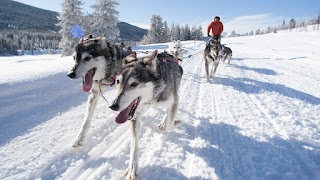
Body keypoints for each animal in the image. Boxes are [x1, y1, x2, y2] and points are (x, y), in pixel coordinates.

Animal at [110, 50, 184, 179]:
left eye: (134, 84)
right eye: (117, 81)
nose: (113, 106)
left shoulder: (175, 101)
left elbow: (170, 126)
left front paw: (176, 122)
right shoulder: (135, 115)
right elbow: (134, 146)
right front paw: (132, 169)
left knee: (168, 114)